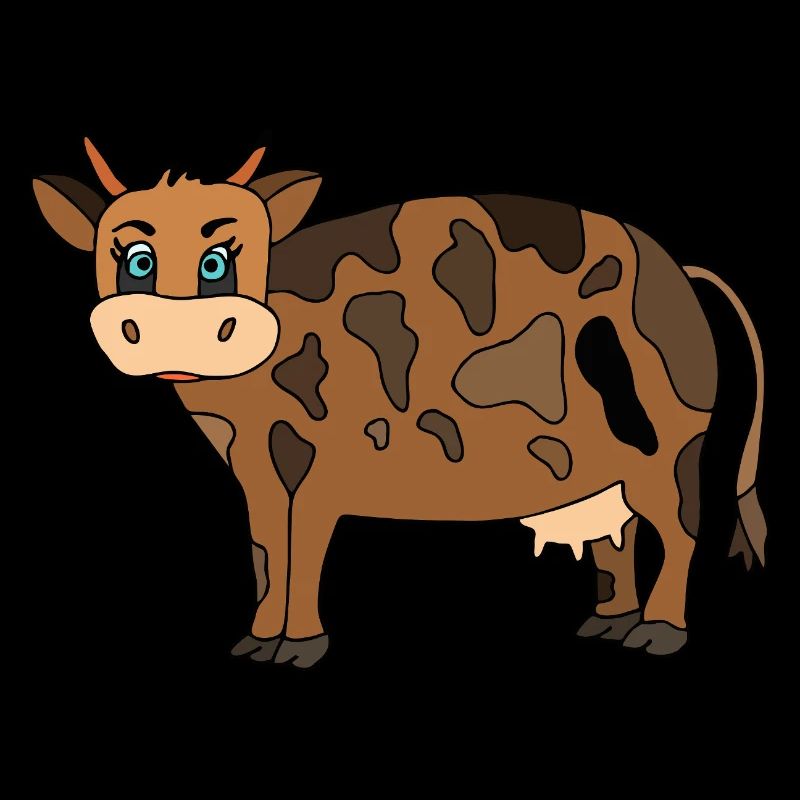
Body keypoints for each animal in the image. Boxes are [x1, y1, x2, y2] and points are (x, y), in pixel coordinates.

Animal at [32, 140, 766, 667]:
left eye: (218, 261)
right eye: (136, 260)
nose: (175, 331)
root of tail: (682, 271)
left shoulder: (326, 462)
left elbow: (303, 547)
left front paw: (297, 649)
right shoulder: (255, 467)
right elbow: (266, 548)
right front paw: (257, 642)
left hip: (670, 442)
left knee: (679, 527)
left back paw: (657, 635)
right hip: (612, 461)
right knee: (623, 532)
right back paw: (606, 626)